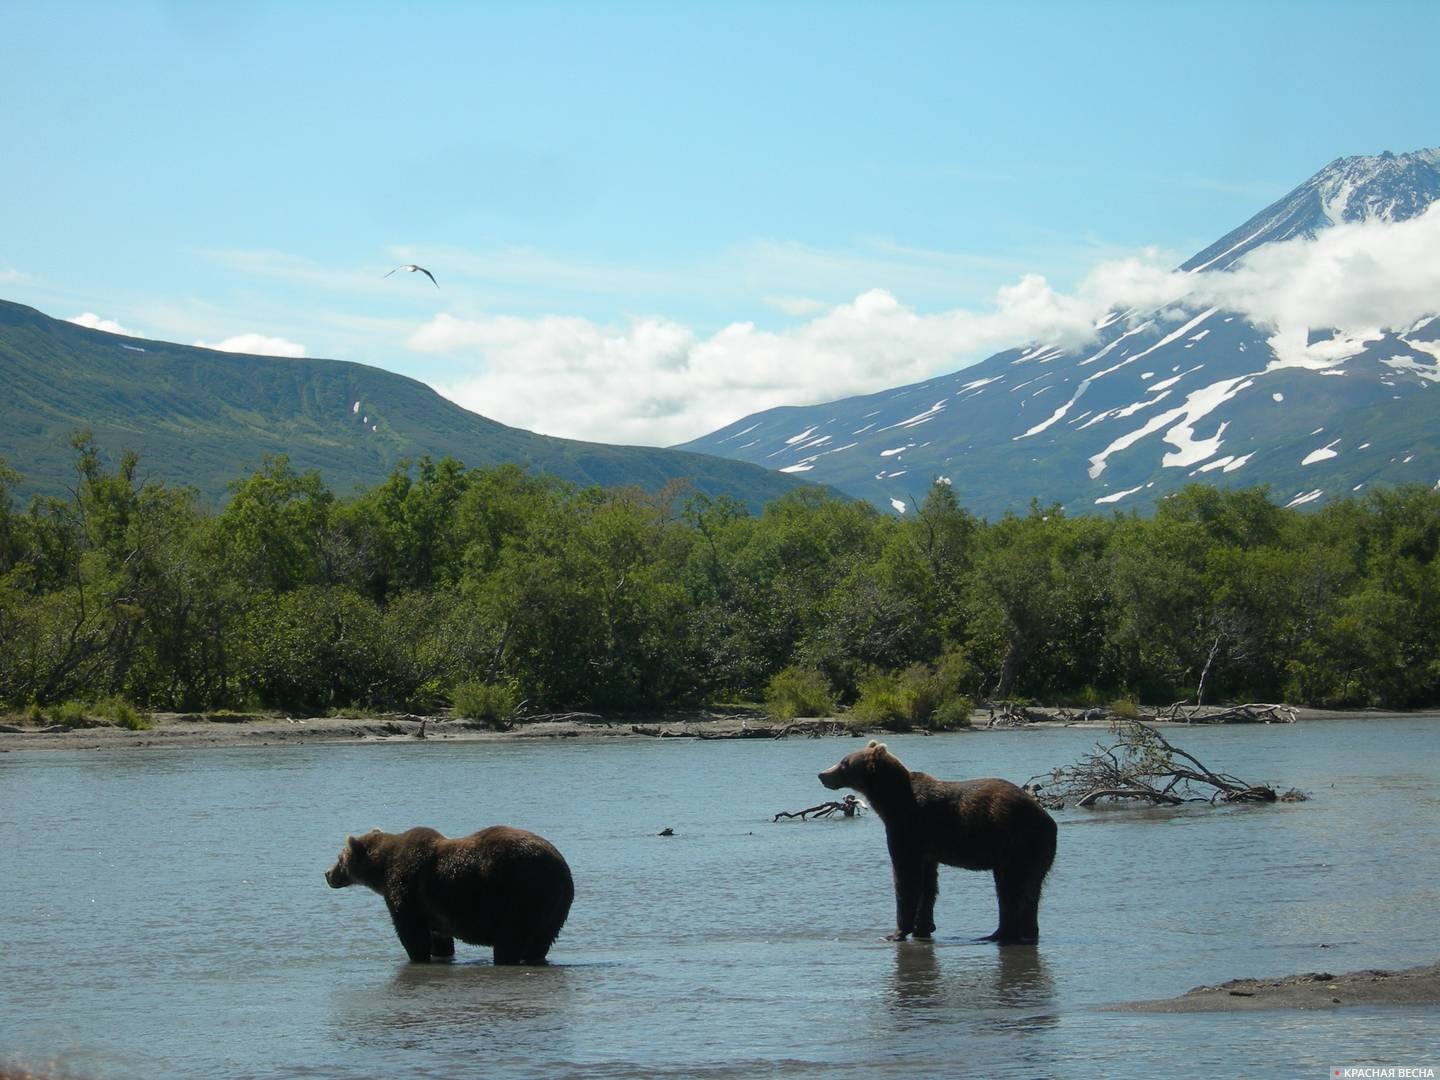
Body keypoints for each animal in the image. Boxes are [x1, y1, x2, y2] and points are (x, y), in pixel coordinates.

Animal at [326, 823, 573, 967]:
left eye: (339, 857)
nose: (327, 873)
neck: (382, 869)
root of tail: (562, 868)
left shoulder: (406, 887)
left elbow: (411, 932)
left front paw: (417, 957)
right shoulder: (435, 908)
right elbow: (440, 938)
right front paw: (441, 953)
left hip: (522, 893)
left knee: (510, 938)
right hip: (554, 908)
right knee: (541, 941)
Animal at [823, 743, 1059, 944]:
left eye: (844, 762)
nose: (822, 775)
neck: (891, 801)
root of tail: (1047, 819)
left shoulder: (908, 828)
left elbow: (906, 876)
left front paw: (896, 932)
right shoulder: (927, 849)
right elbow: (928, 885)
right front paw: (923, 928)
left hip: (1016, 842)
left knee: (1010, 887)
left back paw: (998, 934)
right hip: (1037, 851)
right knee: (1031, 890)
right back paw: (1026, 932)